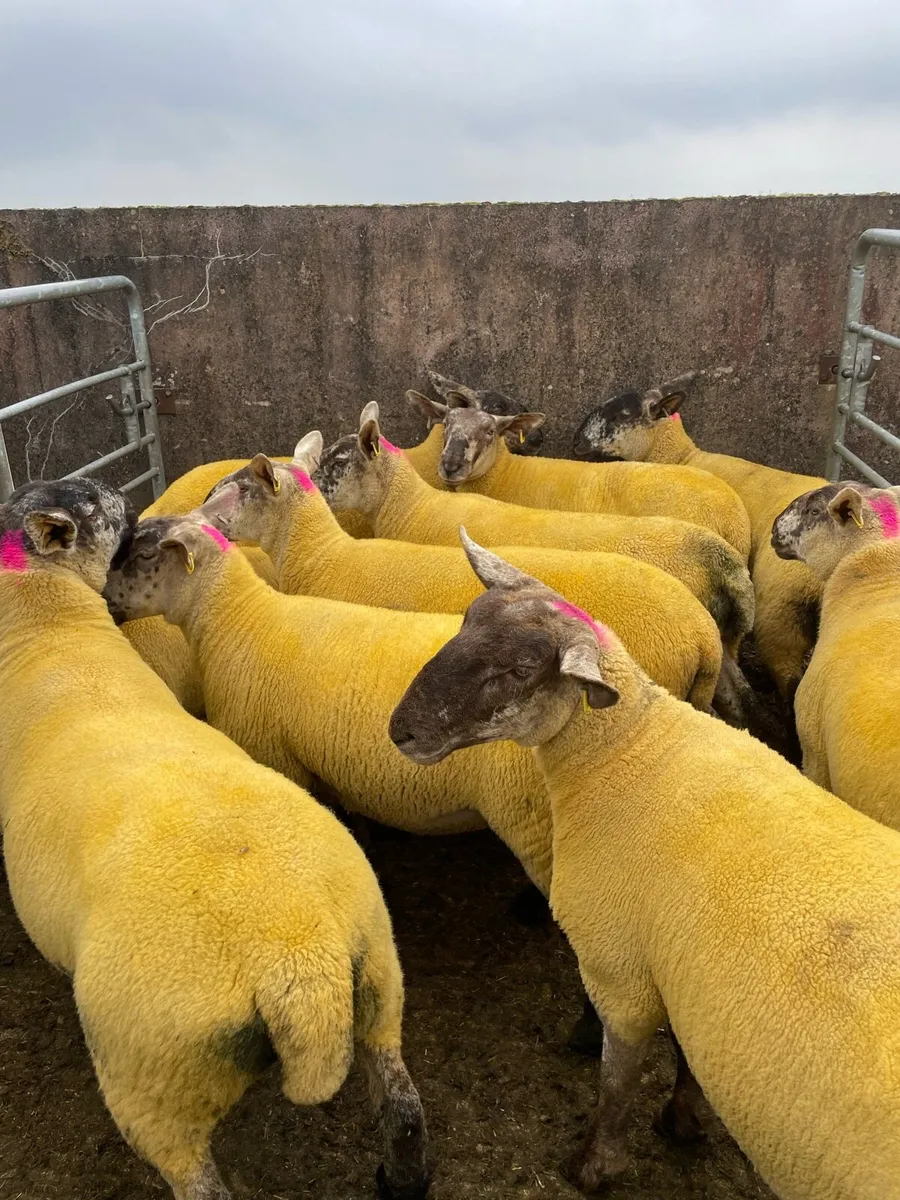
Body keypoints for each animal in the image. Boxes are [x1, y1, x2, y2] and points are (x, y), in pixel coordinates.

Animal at [0, 478, 429, 1200]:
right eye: (102, 511)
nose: (122, 494)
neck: (45, 629)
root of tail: (300, 964)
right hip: (378, 978)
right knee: (403, 1109)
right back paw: (399, 1179)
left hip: (155, 1080)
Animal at [388, 530, 900, 1200]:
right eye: (467, 622)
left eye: (520, 671)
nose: (399, 730)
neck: (626, 748)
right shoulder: (681, 972)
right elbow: (684, 1055)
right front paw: (682, 1118)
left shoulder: (620, 966)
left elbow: (617, 1078)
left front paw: (593, 1166)